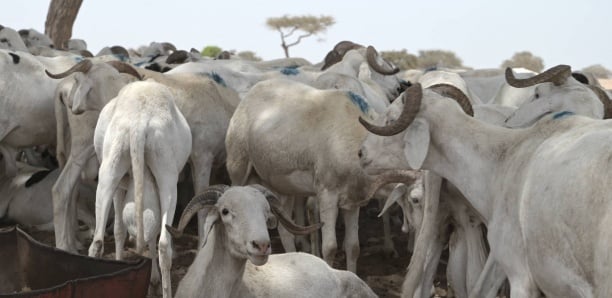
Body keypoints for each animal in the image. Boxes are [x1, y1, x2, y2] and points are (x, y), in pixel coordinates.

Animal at [89, 79, 191, 298]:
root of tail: (138, 120)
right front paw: (153, 281)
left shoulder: (121, 185)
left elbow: (121, 230)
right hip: (167, 175)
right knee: (163, 244)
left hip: (110, 168)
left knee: (98, 242)